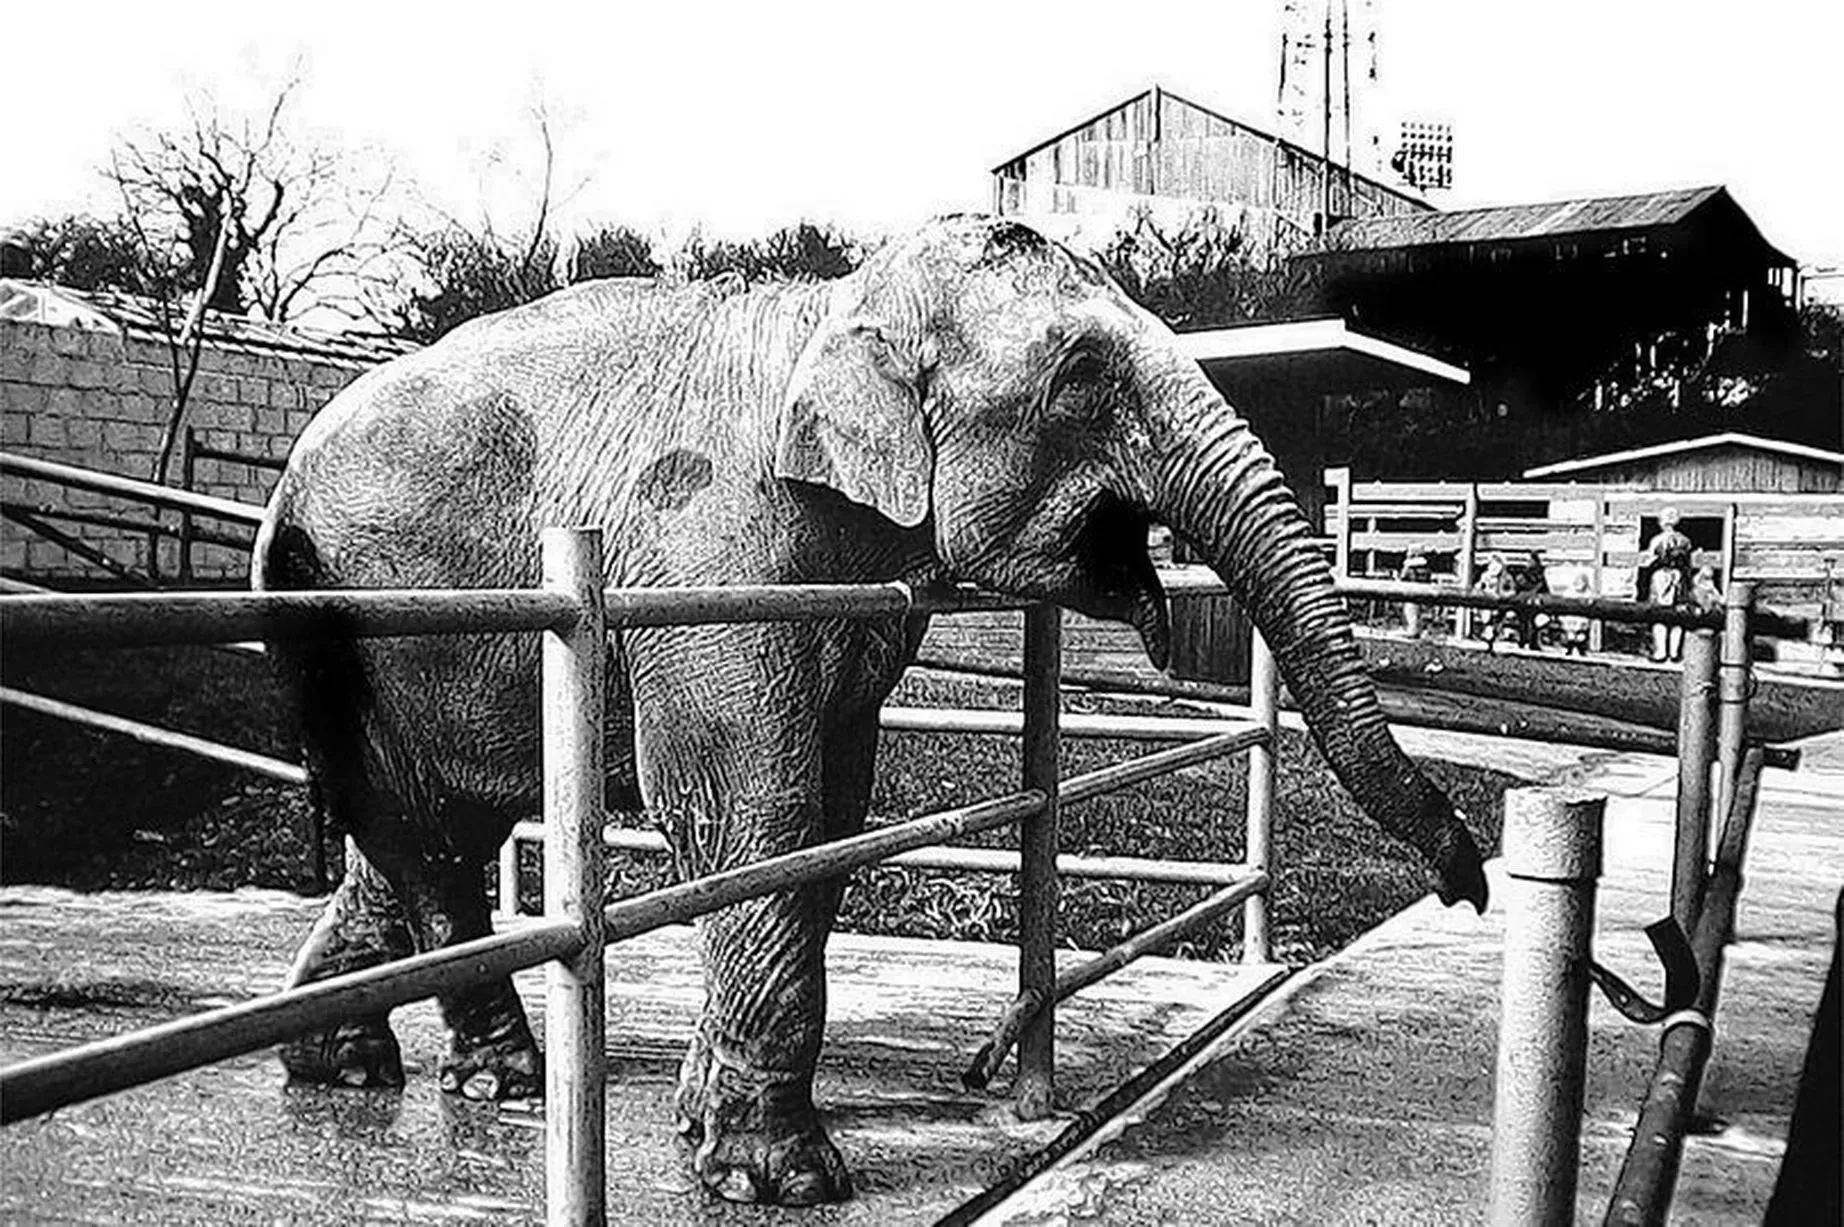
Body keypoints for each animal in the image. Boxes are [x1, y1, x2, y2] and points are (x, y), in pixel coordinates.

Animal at [253, 215, 1486, 1205]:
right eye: (1082, 374)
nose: (1469, 885)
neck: (834, 306)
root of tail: (278, 490)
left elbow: (832, 809)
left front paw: (701, 1124)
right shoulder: (711, 561)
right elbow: (753, 814)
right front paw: (783, 1184)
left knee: (416, 833)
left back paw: (350, 1066)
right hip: (365, 624)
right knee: (424, 834)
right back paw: (503, 1083)